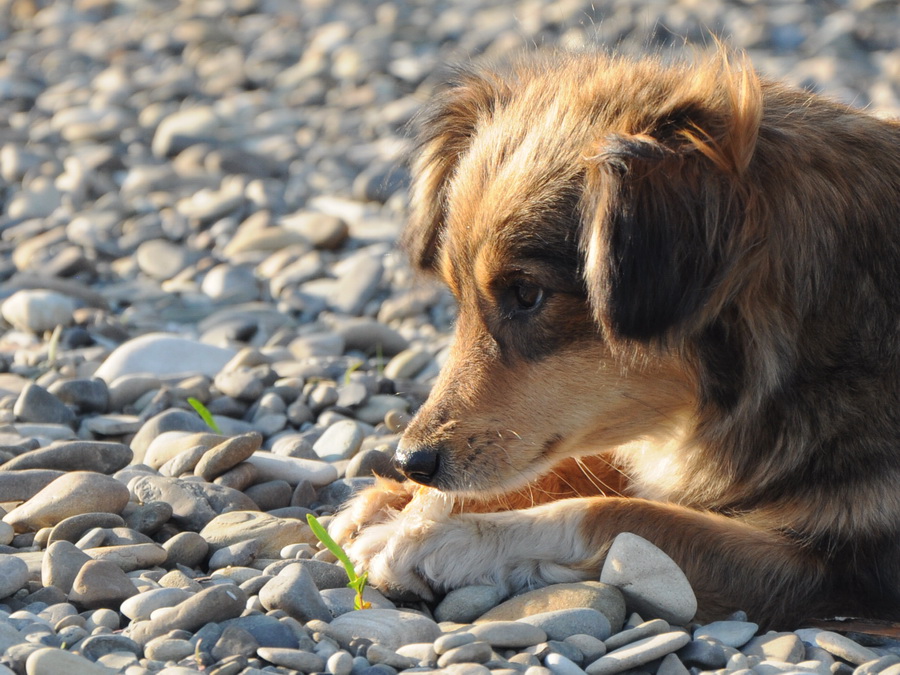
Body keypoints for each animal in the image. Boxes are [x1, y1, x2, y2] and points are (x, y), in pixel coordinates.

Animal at [328, 51, 900, 628]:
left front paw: (443, 538)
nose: (410, 462)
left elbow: (622, 515)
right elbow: (581, 466)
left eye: (527, 293)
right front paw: (401, 504)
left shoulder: (839, 570)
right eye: (457, 297)